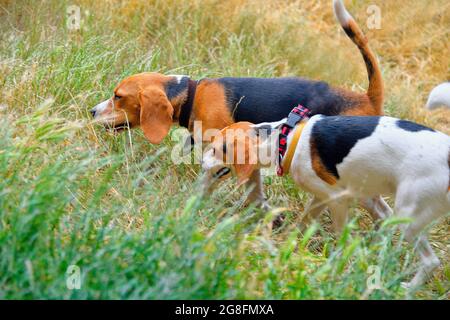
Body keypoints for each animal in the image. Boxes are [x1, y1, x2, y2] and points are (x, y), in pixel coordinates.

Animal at [201, 116, 450, 288]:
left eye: (215, 149)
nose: (200, 160)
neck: (285, 139)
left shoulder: (337, 201)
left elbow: (342, 238)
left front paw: (337, 264)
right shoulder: (319, 198)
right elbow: (301, 225)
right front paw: (284, 245)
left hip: (408, 217)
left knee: (431, 262)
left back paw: (407, 288)